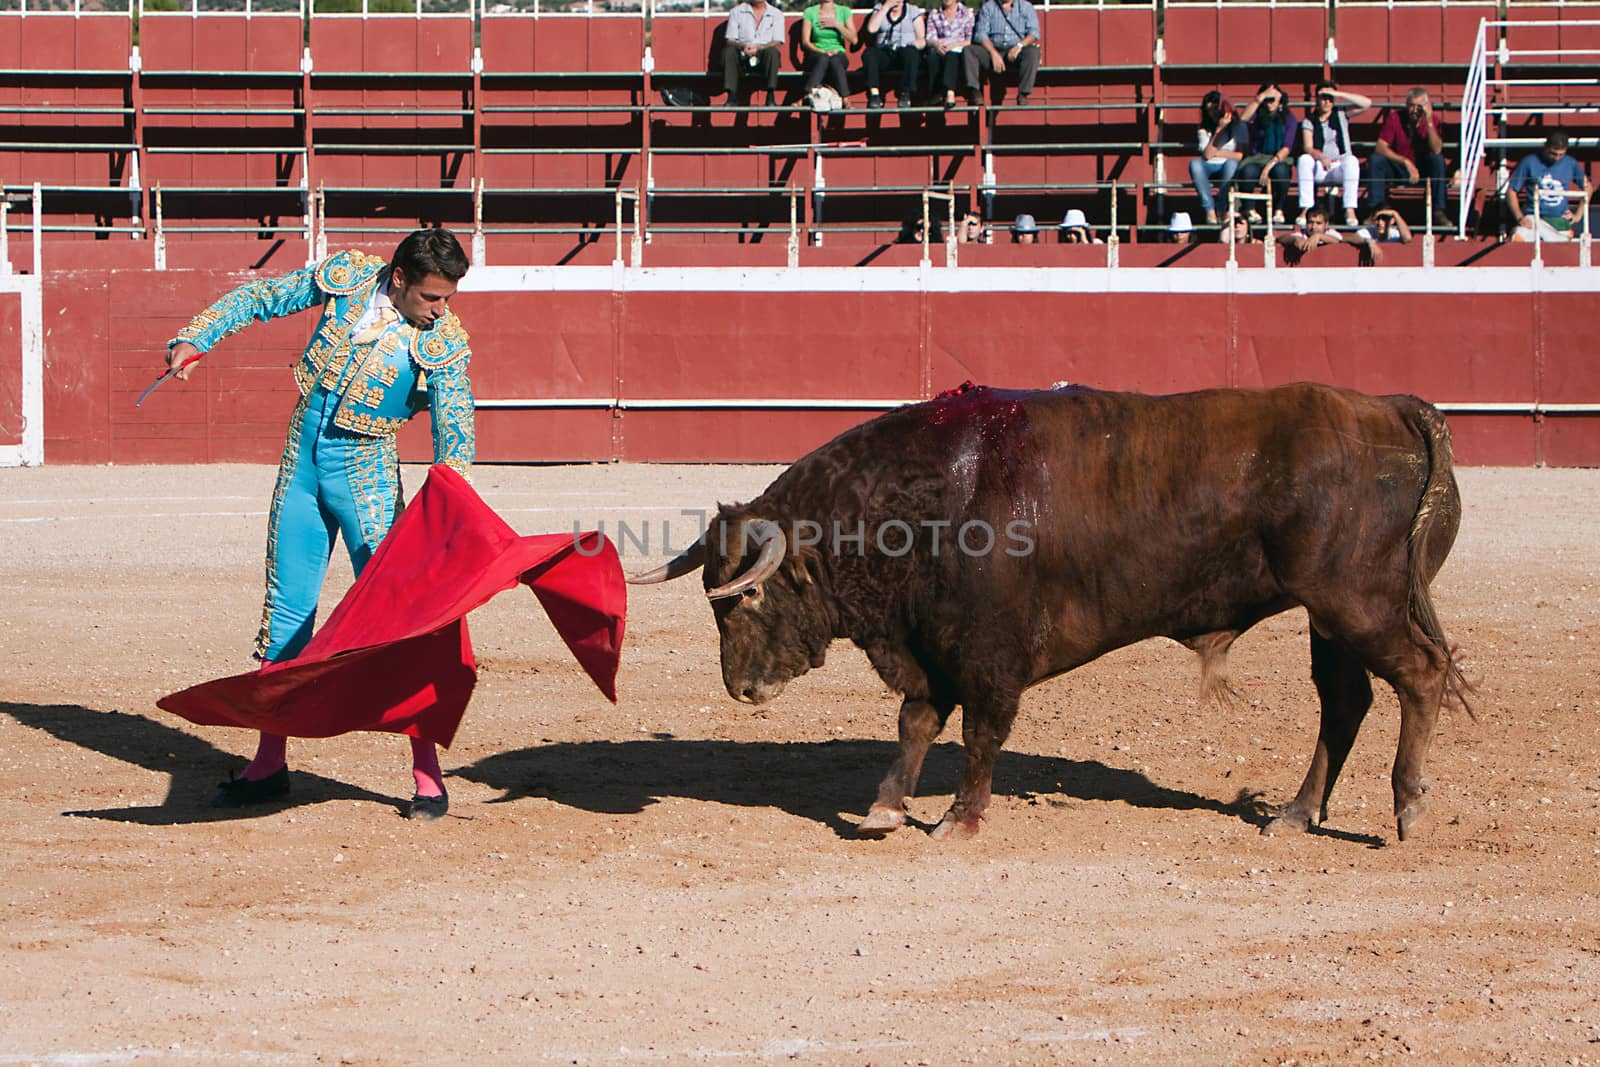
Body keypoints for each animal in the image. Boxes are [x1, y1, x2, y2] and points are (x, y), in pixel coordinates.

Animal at [630, 383, 1465, 844]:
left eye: (753, 592)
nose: (740, 687)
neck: (925, 500)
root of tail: (1392, 409)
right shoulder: (929, 649)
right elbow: (915, 724)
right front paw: (885, 808)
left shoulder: (988, 657)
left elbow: (979, 733)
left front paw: (959, 818)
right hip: (1332, 617)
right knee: (1346, 701)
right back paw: (1297, 812)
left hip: (1357, 601)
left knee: (1421, 675)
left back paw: (1408, 808)